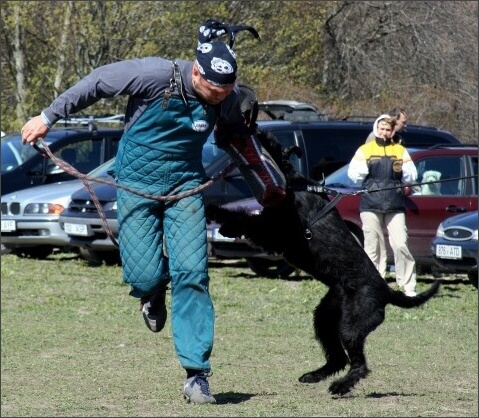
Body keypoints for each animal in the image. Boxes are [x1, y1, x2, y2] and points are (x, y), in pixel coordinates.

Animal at [208, 132, 440, 396]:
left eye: (267, 139)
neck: (291, 181)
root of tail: (388, 292)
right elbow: (246, 218)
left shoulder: (276, 233)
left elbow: (246, 220)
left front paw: (215, 212)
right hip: (326, 316)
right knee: (338, 358)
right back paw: (314, 375)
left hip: (351, 325)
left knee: (359, 364)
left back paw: (340, 386)